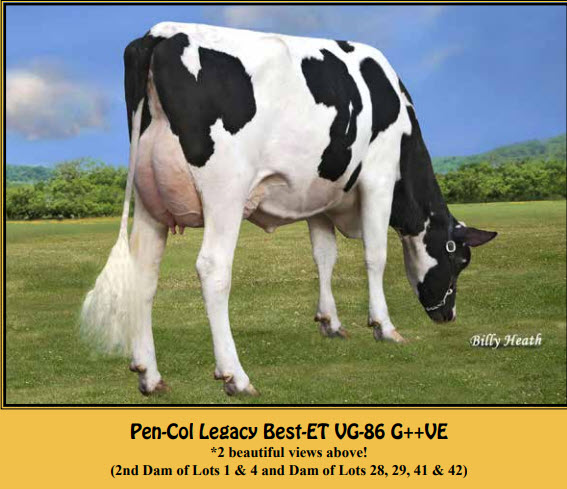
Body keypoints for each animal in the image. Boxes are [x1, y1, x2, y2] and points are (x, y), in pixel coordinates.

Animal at [81, 22, 497, 397]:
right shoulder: (378, 177)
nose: (448, 316)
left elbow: (324, 256)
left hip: (149, 198)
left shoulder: (319, 194)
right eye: (460, 260)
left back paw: (149, 375)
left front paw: (330, 321)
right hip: (225, 189)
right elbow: (375, 255)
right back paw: (235, 377)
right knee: (213, 268)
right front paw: (384, 326)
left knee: (143, 274)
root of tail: (159, 35)